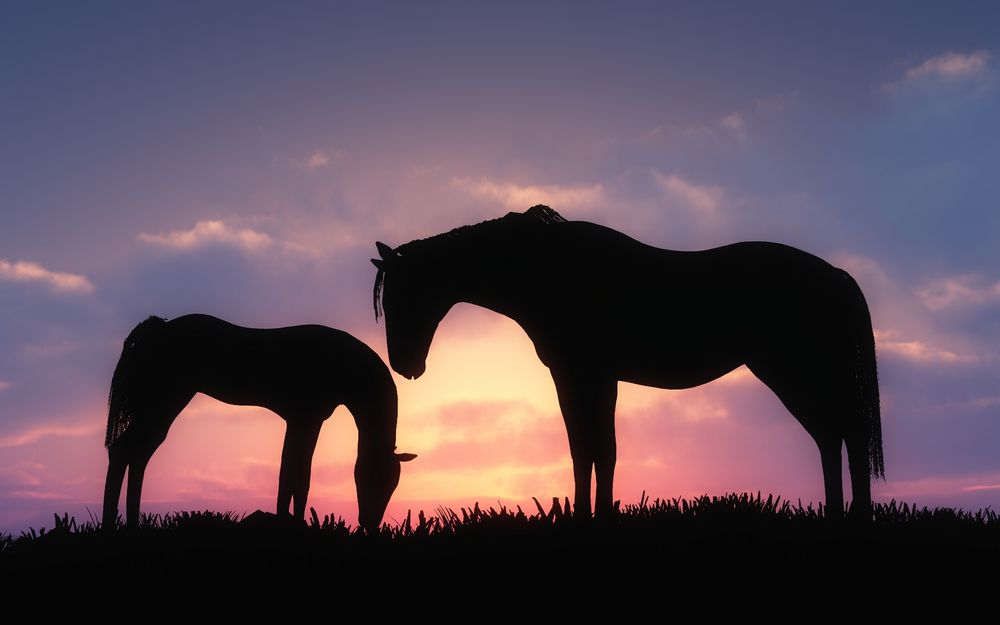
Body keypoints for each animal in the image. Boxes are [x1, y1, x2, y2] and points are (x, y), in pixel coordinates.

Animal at [101, 314, 414, 528]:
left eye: (392, 484)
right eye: (375, 478)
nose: (369, 524)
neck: (343, 365)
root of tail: (157, 328)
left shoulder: (301, 420)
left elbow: (292, 474)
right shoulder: (306, 418)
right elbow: (297, 476)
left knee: (137, 454)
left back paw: (130, 524)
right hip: (164, 402)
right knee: (125, 452)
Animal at [374, 204, 884, 516]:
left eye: (402, 295)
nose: (405, 366)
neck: (546, 271)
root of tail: (836, 275)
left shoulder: (582, 374)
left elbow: (592, 447)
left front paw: (589, 516)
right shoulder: (591, 377)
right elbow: (595, 448)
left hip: (795, 371)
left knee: (842, 433)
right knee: (833, 435)